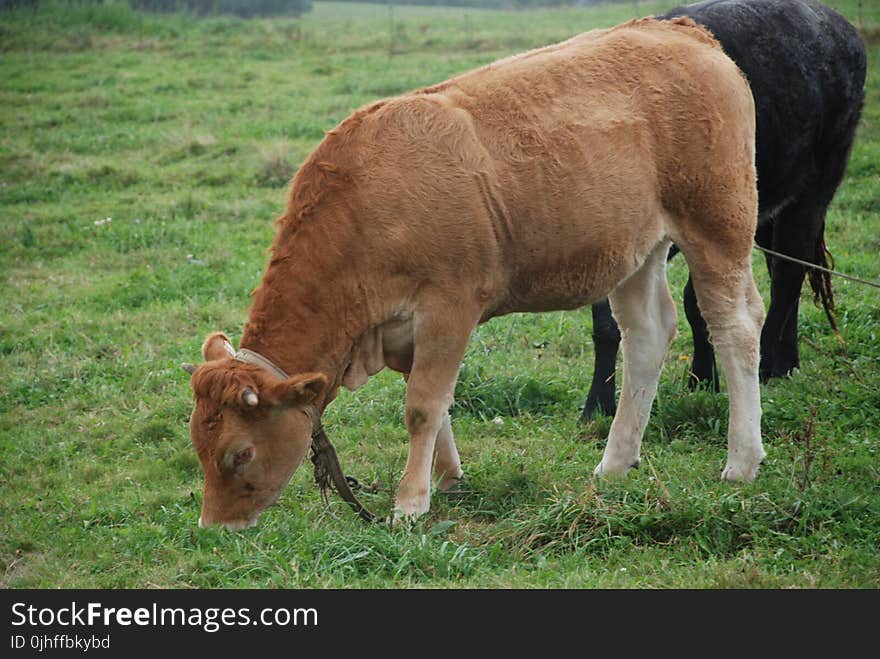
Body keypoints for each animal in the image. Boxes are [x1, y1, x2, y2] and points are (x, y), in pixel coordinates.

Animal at [184, 16, 764, 532]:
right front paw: (447, 477)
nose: (214, 527)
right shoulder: (405, 330)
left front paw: (409, 504)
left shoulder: (449, 305)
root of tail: (682, 30)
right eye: (198, 445)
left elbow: (422, 405)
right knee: (647, 335)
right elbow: (434, 402)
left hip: (717, 224)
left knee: (734, 327)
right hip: (637, 251)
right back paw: (615, 463)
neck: (363, 206)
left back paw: (741, 461)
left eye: (239, 453)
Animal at [580, 0, 864, 420]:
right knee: (783, 267)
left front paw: (703, 377)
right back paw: (788, 361)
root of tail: (837, 25)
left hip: (814, 189)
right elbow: (608, 321)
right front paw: (598, 406)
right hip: (765, 209)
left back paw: (769, 365)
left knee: (789, 275)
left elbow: (695, 303)